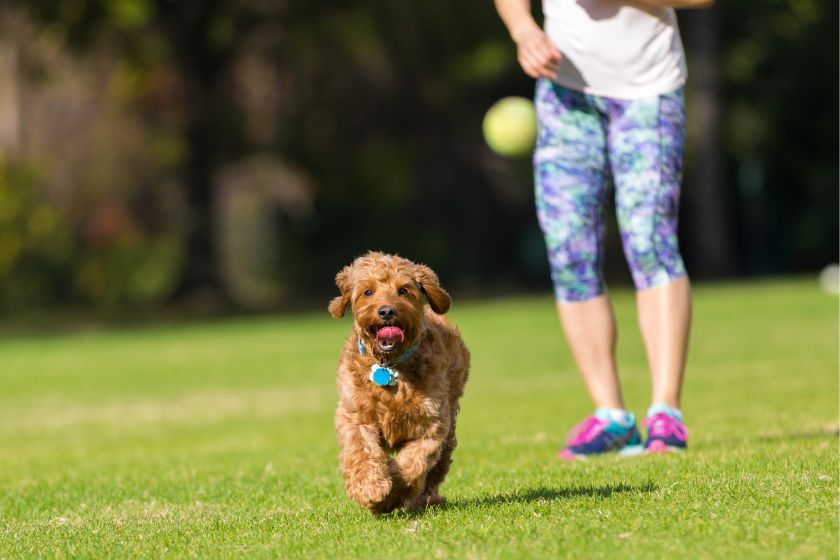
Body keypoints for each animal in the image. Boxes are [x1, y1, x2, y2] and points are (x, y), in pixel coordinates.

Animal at [328, 252, 470, 516]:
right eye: (368, 292)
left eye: (403, 290)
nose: (386, 312)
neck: (388, 367)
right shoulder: (354, 414)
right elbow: (361, 450)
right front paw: (369, 487)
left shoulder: (431, 424)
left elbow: (413, 464)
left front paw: (391, 492)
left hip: (448, 432)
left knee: (435, 472)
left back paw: (427, 499)